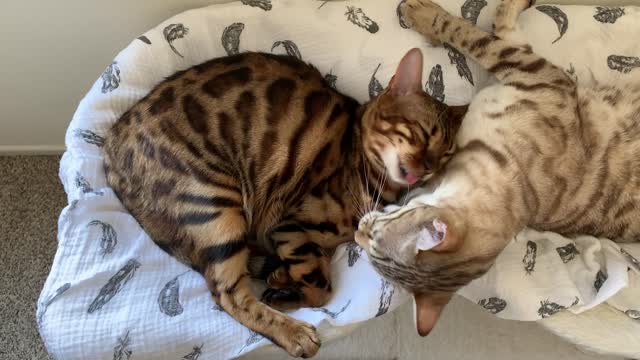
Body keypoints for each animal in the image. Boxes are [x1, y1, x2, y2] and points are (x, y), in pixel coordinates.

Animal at [105, 50, 464, 358]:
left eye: (446, 153)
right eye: (423, 133)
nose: (428, 167)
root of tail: (110, 148)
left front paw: (280, 279)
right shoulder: (289, 224)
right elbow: (321, 288)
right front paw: (286, 293)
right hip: (215, 204)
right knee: (227, 294)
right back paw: (294, 333)